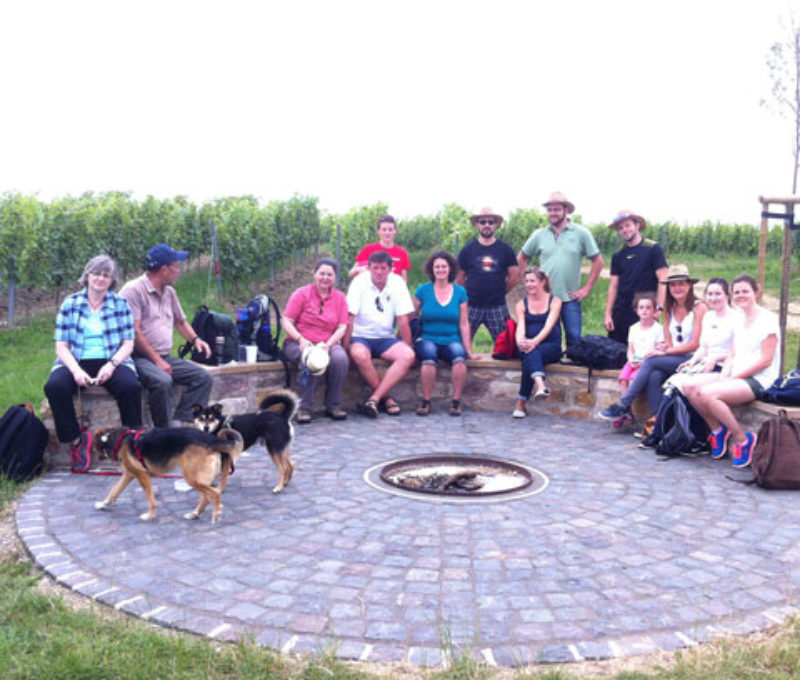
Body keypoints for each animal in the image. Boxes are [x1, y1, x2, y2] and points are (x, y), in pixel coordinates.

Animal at [92, 428, 242, 524]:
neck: (118, 439)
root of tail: (210, 439)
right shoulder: (128, 475)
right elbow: (114, 492)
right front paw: (103, 504)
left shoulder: (142, 475)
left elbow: (151, 500)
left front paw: (149, 516)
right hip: (196, 478)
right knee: (206, 498)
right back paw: (195, 514)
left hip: (192, 477)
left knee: (215, 494)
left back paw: (215, 515)